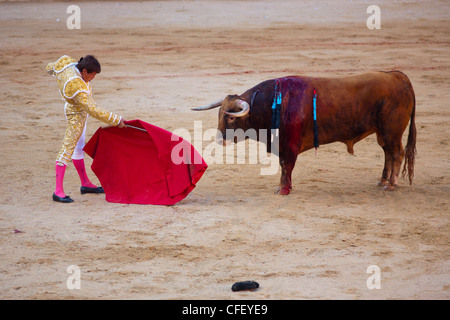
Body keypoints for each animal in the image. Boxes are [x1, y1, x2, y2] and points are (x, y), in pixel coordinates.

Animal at [192, 71, 416, 194]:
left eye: (231, 117)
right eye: (219, 114)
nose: (219, 140)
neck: (270, 103)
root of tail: (398, 76)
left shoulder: (289, 145)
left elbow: (286, 166)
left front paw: (283, 190)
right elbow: (284, 166)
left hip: (392, 131)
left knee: (397, 153)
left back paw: (391, 184)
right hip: (383, 133)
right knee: (388, 153)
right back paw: (382, 180)